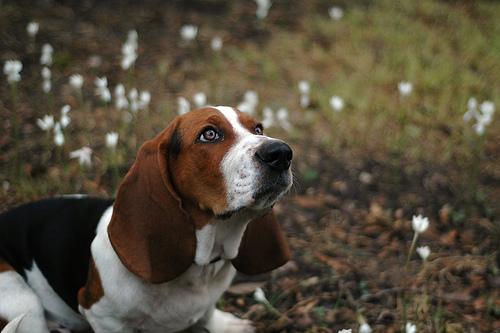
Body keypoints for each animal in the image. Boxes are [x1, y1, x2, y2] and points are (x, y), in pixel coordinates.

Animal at [0, 106, 292, 332]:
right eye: (209, 134)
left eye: (258, 129)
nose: (281, 153)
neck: (200, 262)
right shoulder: (103, 317)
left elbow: (207, 313)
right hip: (23, 302)